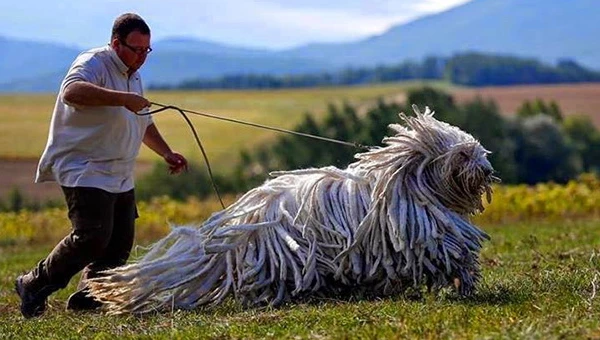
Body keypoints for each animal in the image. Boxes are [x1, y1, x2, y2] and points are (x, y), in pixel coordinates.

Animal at [86, 105, 500, 314]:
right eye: (463, 154)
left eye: (477, 150)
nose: (486, 169)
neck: (409, 182)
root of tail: (238, 221)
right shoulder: (427, 236)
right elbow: (453, 254)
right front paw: (465, 282)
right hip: (285, 255)